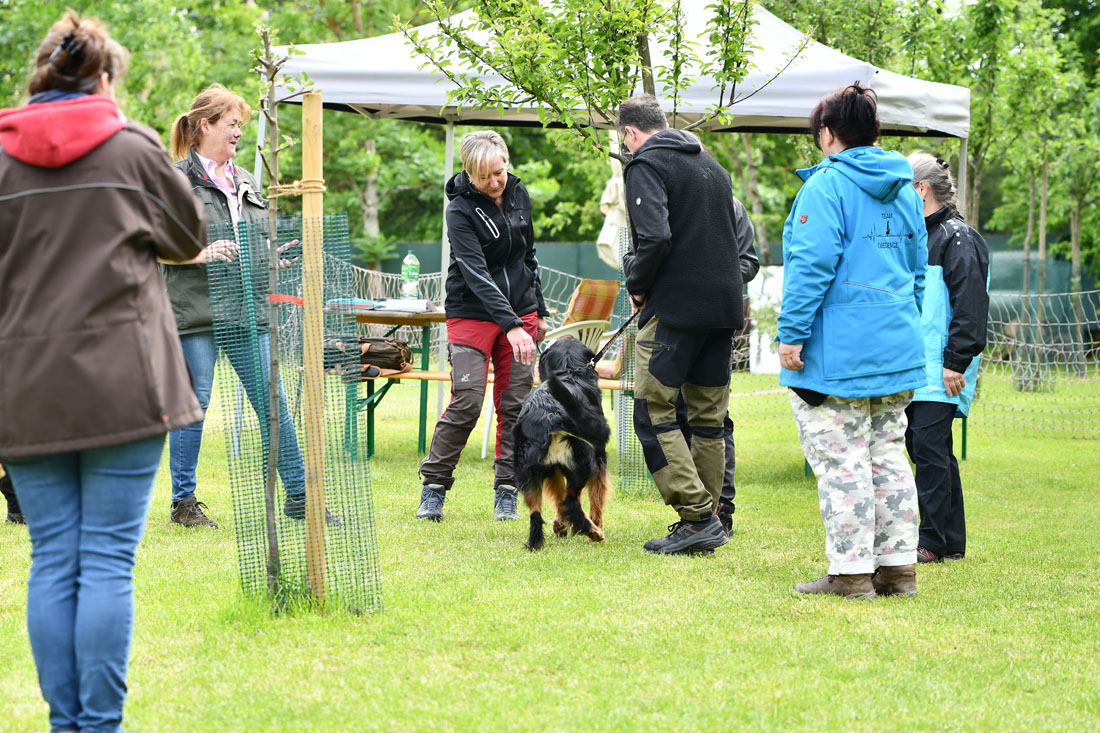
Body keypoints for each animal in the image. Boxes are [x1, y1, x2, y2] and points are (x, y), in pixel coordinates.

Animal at [512, 336, 616, 548]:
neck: (569, 370)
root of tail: (549, 415)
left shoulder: (553, 467)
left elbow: (558, 494)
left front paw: (560, 525)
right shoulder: (599, 458)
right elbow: (596, 497)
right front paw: (596, 524)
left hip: (527, 471)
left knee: (536, 512)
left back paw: (535, 543)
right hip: (585, 463)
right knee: (571, 500)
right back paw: (594, 531)